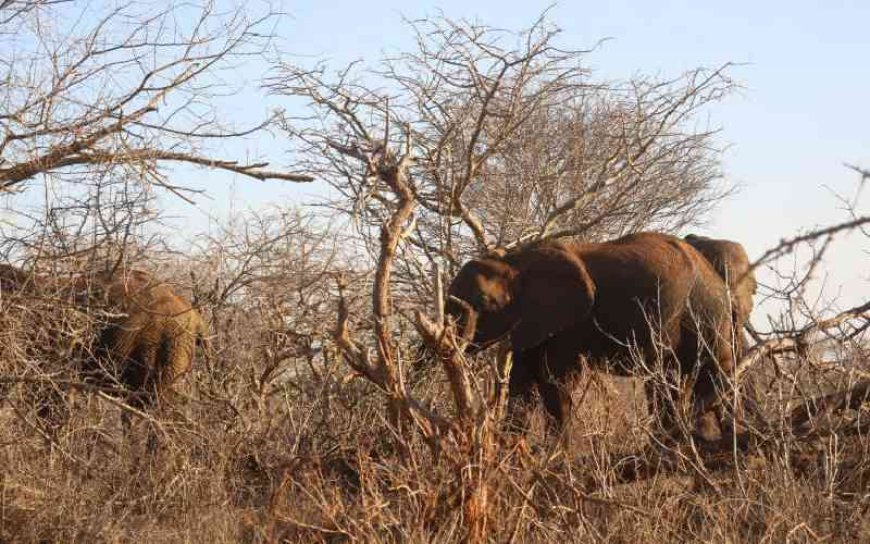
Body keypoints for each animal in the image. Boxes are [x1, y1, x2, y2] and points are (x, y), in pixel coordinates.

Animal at [450, 232, 744, 444]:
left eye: (484, 303)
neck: (515, 262)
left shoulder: (572, 322)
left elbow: (555, 380)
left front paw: (554, 460)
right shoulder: (534, 320)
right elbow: (522, 381)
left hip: (704, 312)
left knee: (711, 374)